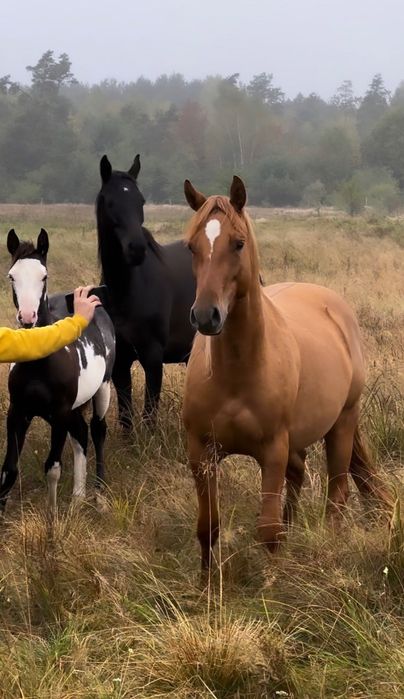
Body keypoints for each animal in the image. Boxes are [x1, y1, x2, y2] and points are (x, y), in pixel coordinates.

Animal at [0, 228, 116, 514]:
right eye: (11, 276)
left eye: (44, 276)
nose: (27, 318)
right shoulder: (18, 412)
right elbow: (9, 470)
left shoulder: (60, 413)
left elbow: (52, 468)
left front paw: (52, 520)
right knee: (81, 434)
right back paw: (78, 497)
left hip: (103, 389)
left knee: (97, 430)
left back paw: (99, 495)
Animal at [96, 154, 196, 429]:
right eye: (109, 201)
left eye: (140, 200)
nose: (136, 249)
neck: (127, 291)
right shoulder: (120, 362)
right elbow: (126, 418)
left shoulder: (152, 357)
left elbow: (149, 416)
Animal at [182, 176, 390, 575]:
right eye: (191, 246)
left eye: (238, 242)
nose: (205, 316)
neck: (236, 375)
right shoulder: (201, 453)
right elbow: (207, 527)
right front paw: (205, 583)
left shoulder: (272, 450)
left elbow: (267, 530)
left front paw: (271, 581)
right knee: (299, 477)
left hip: (343, 421)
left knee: (337, 492)